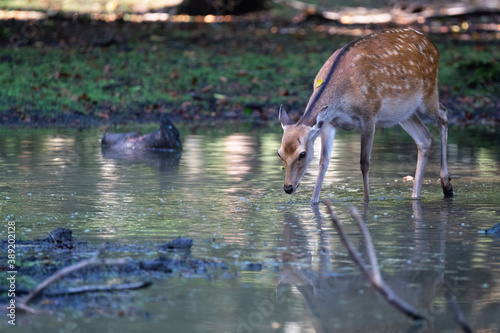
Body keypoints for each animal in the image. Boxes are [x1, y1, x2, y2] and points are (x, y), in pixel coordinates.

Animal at [278, 29, 454, 202]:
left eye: (302, 154)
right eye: (280, 153)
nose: (288, 188)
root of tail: (434, 46)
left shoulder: (369, 115)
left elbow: (364, 163)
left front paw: (366, 201)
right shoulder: (329, 122)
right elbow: (323, 162)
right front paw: (314, 201)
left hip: (428, 93)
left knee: (444, 114)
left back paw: (447, 185)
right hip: (404, 113)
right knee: (424, 138)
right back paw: (416, 195)